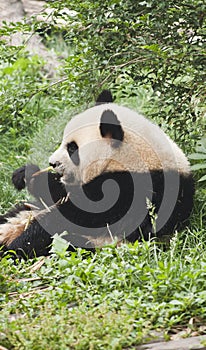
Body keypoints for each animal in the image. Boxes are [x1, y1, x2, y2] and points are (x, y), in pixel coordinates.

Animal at [0, 91, 195, 260]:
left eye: (72, 148)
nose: (52, 163)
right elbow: (58, 194)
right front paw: (26, 175)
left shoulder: (136, 189)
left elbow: (78, 216)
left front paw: (19, 244)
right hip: (24, 212)